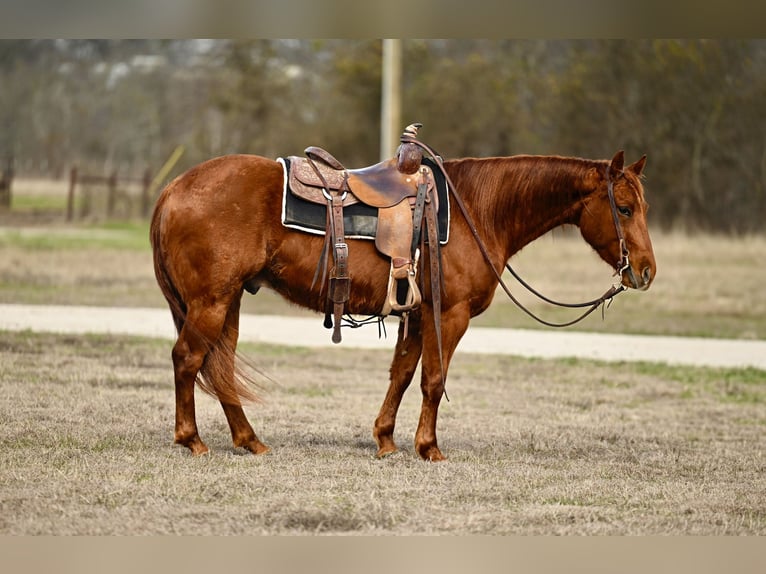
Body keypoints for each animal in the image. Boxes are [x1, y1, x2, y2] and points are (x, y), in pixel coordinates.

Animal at [153, 150, 656, 464]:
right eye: (625, 208)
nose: (646, 271)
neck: (478, 210)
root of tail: (175, 187)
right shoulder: (448, 315)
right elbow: (434, 380)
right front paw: (429, 447)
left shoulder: (415, 314)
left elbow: (402, 374)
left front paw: (385, 439)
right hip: (211, 303)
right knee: (188, 359)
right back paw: (192, 440)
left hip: (229, 301)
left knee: (220, 365)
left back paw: (250, 440)